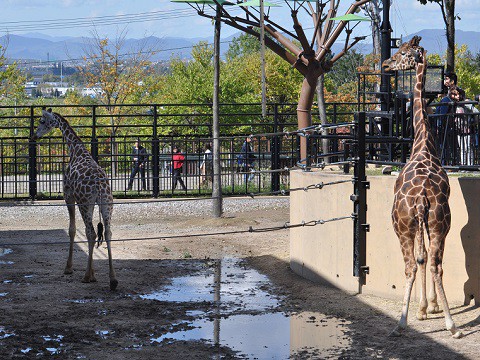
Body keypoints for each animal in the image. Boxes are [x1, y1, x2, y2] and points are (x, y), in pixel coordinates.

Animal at [32, 108, 118, 292]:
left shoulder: (68, 195)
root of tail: (99, 186)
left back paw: (86, 276)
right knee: (107, 232)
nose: (34, 135)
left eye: (42, 121)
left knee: (91, 232)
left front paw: (69, 268)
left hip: (85, 204)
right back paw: (113, 280)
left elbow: (72, 229)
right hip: (107, 204)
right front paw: (93, 273)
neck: (75, 151)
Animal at [382, 35, 462, 338]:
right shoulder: (426, 222)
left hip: (404, 225)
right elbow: (425, 257)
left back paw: (402, 322)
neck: (423, 141)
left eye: (403, 53)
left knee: (412, 264)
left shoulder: (417, 223)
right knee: (435, 262)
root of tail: (422, 197)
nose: (385, 63)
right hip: (439, 222)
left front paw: (424, 308)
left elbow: (420, 258)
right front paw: (427, 307)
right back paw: (452, 325)